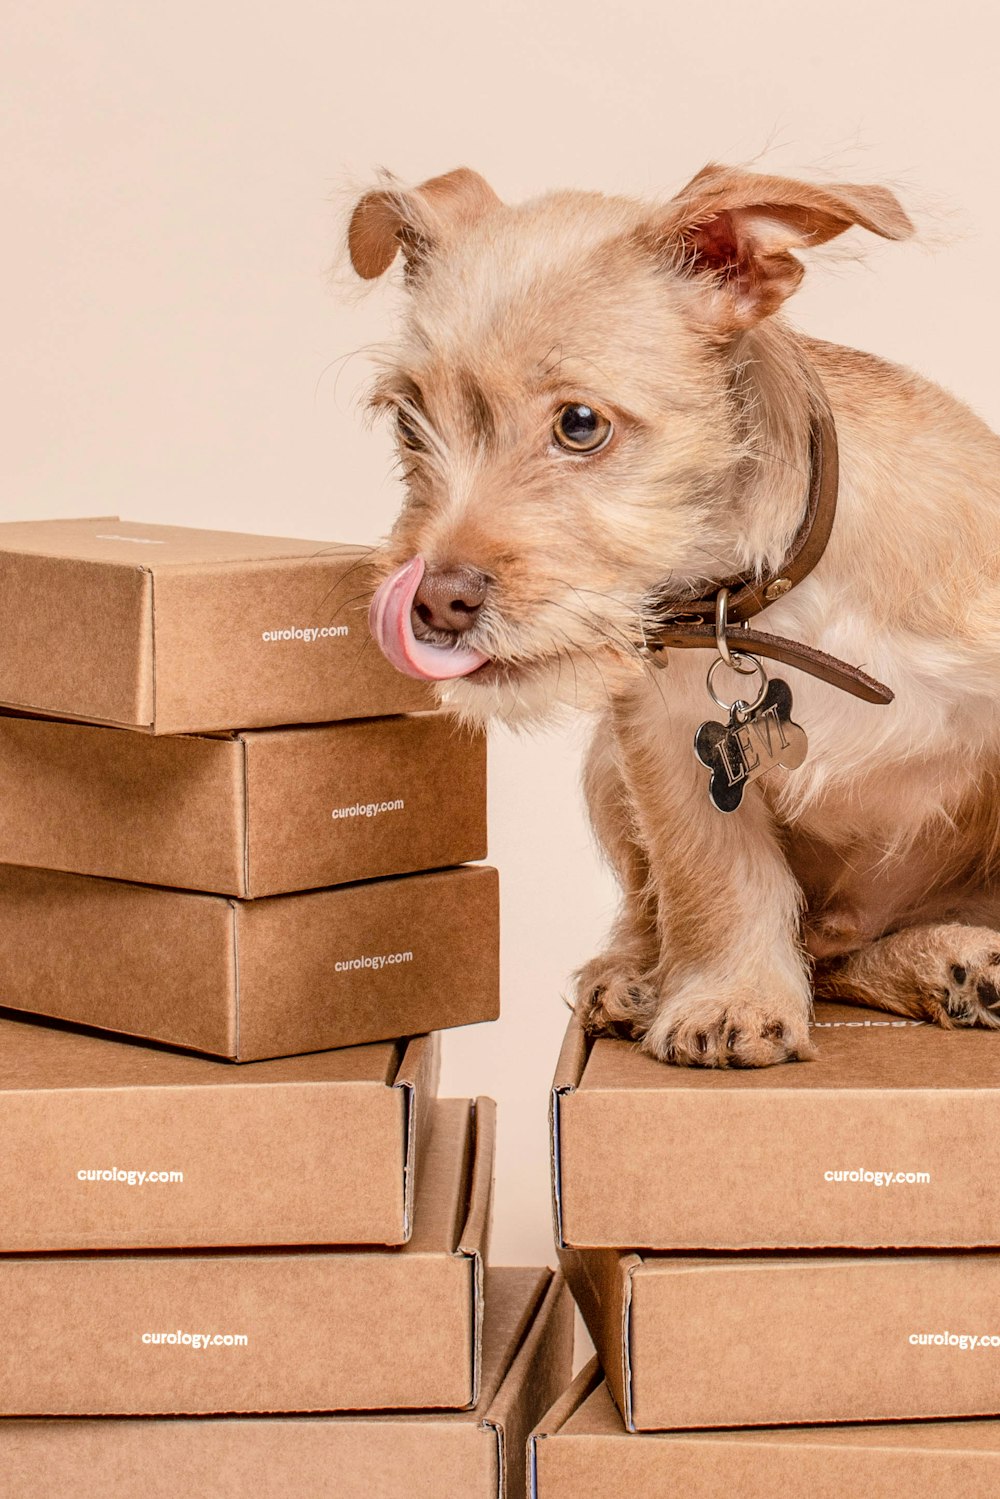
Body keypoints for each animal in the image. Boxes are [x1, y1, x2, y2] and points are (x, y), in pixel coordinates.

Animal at [347, 164, 1000, 1067]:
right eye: (411, 422)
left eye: (580, 424)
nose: (431, 602)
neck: (778, 609)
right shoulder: (662, 747)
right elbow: (715, 880)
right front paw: (731, 995)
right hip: (603, 766)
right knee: (729, 932)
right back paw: (634, 978)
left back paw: (953, 959)